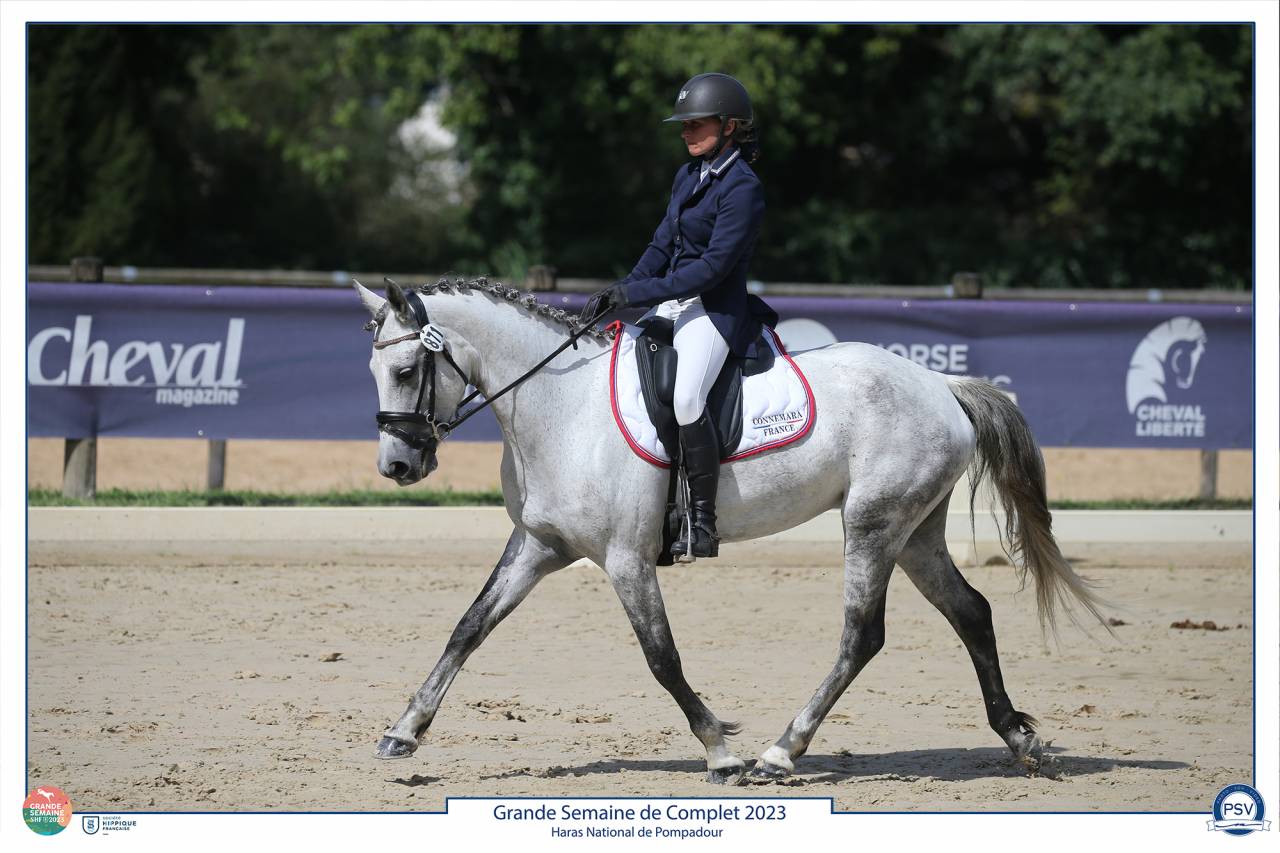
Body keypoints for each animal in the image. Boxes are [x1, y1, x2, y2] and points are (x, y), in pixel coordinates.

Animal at [354, 276, 1107, 785]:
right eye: (374, 371)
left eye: (405, 369)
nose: (397, 465)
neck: (557, 405)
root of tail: (942, 387)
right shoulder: (539, 546)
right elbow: (468, 627)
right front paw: (404, 731)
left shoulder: (626, 559)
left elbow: (662, 658)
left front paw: (720, 748)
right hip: (914, 531)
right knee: (971, 612)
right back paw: (1017, 738)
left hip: (872, 523)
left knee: (862, 635)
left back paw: (781, 751)